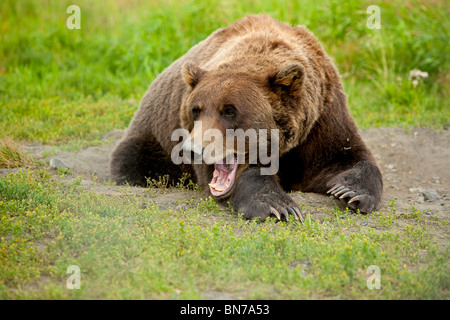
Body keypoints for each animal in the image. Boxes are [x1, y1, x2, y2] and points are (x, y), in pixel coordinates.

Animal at [110, 14, 384, 220]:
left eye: (230, 110)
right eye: (196, 109)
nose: (192, 150)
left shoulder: (322, 116)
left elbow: (345, 156)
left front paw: (350, 191)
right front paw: (277, 205)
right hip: (153, 135)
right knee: (132, 159)